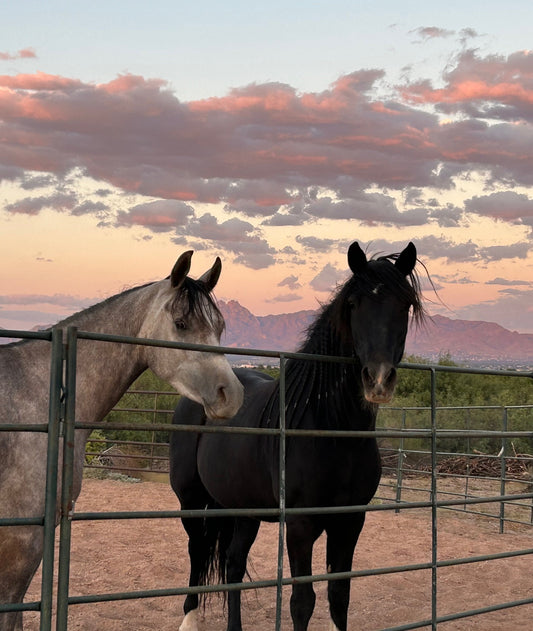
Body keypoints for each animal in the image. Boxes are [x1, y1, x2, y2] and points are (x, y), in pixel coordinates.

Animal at [169, 242, 424, 631]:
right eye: (354, 304)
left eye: (404, 304)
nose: (378, 380)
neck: (330, 432)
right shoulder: (301, 526)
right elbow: (302, 601)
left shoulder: (350, 522)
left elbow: (339, 595)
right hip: (192, 500)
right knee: (197, 553)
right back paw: (189, 620)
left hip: (241, 507)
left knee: (233, 562)